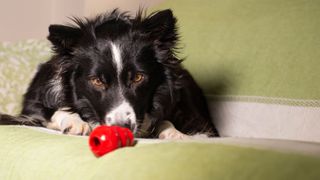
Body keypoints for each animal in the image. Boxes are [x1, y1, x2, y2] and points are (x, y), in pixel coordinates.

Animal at [0, 8, 219, 139]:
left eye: (138, 77)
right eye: (97, 81)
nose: (121, 128)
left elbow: (167, 120)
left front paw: (174, 133)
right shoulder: (33, 105)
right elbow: (52, 110)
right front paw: (75, 122)